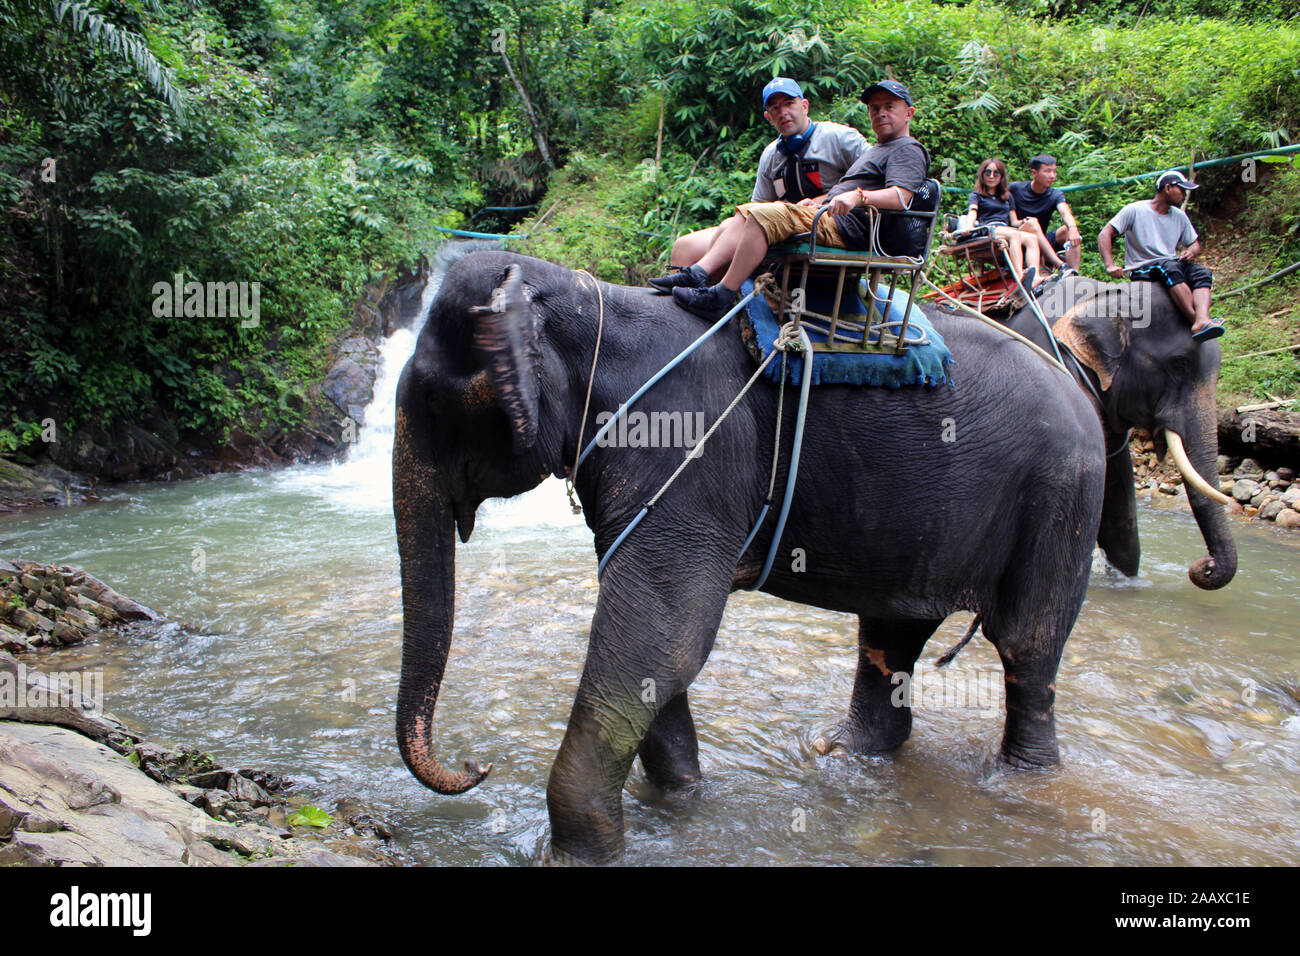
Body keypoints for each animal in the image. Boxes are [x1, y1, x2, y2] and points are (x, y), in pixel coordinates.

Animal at [397, 251, 1107, 863]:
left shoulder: (689, 453)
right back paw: (842, 755)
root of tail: (1076, 384)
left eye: (434, 403)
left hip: (1059, 496)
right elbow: (656, 646)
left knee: (1026, 647)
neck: (591, 304)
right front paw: (682, 802)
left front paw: (570, 857)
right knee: (891, 634)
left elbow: (662, 636)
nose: (477, 763)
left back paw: (1019, 782)